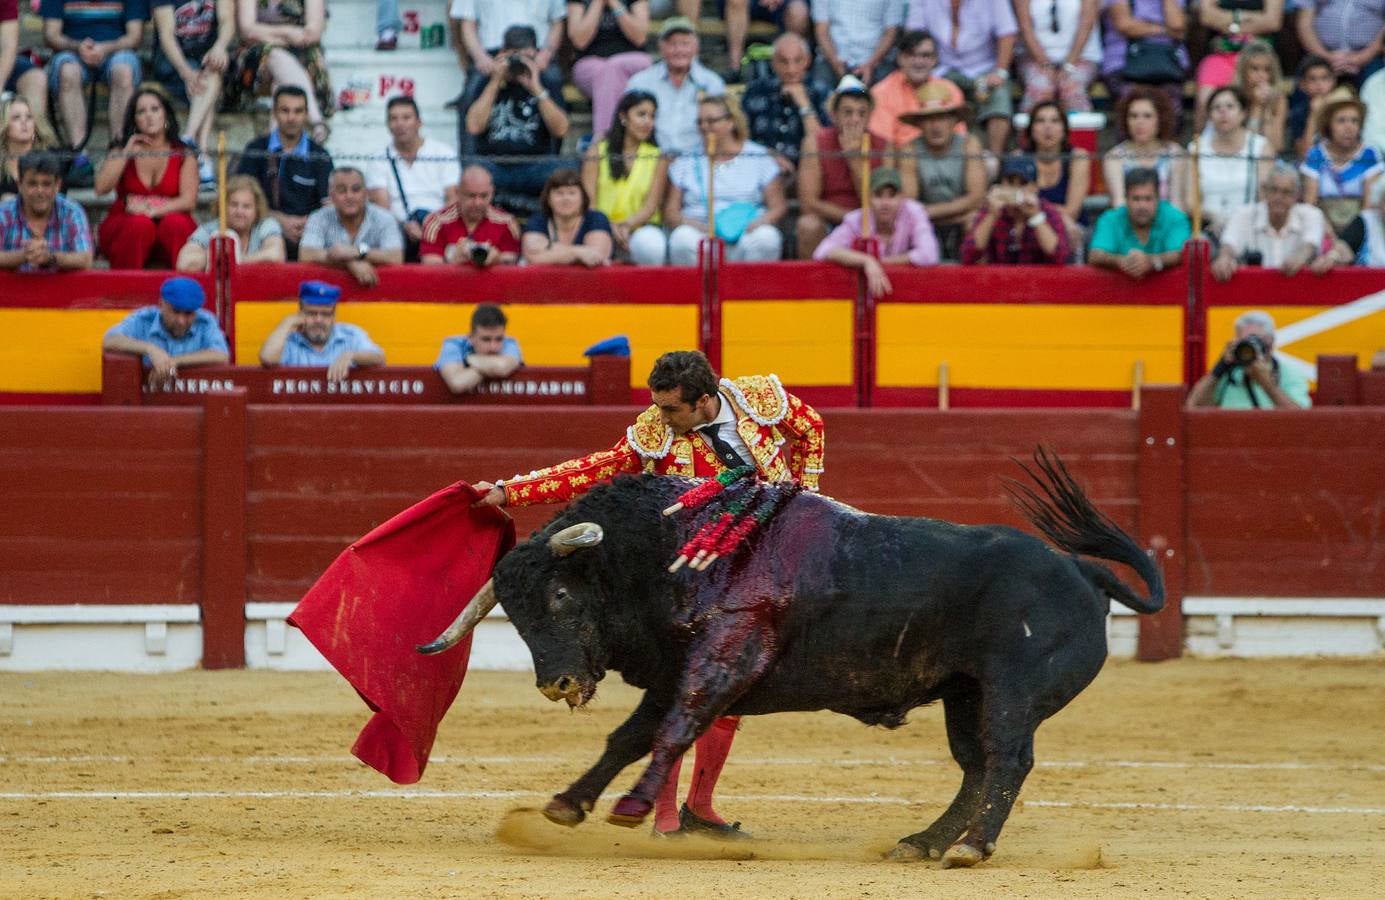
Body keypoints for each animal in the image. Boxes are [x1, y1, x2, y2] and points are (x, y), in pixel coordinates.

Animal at [418, 451, 1157, 864]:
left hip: (1010, 692)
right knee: (976, 766)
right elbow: (632, 735)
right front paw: (569, 804)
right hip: (963, 693)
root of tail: (1081, 572)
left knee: (1008, 759)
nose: (557, 682)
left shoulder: (724, 657)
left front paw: (631, 806)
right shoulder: (676, 668)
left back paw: (972, 847)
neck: (665, 548)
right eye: (515, 616)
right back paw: (923, 843)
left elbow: (674, 728)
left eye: (563, 595)